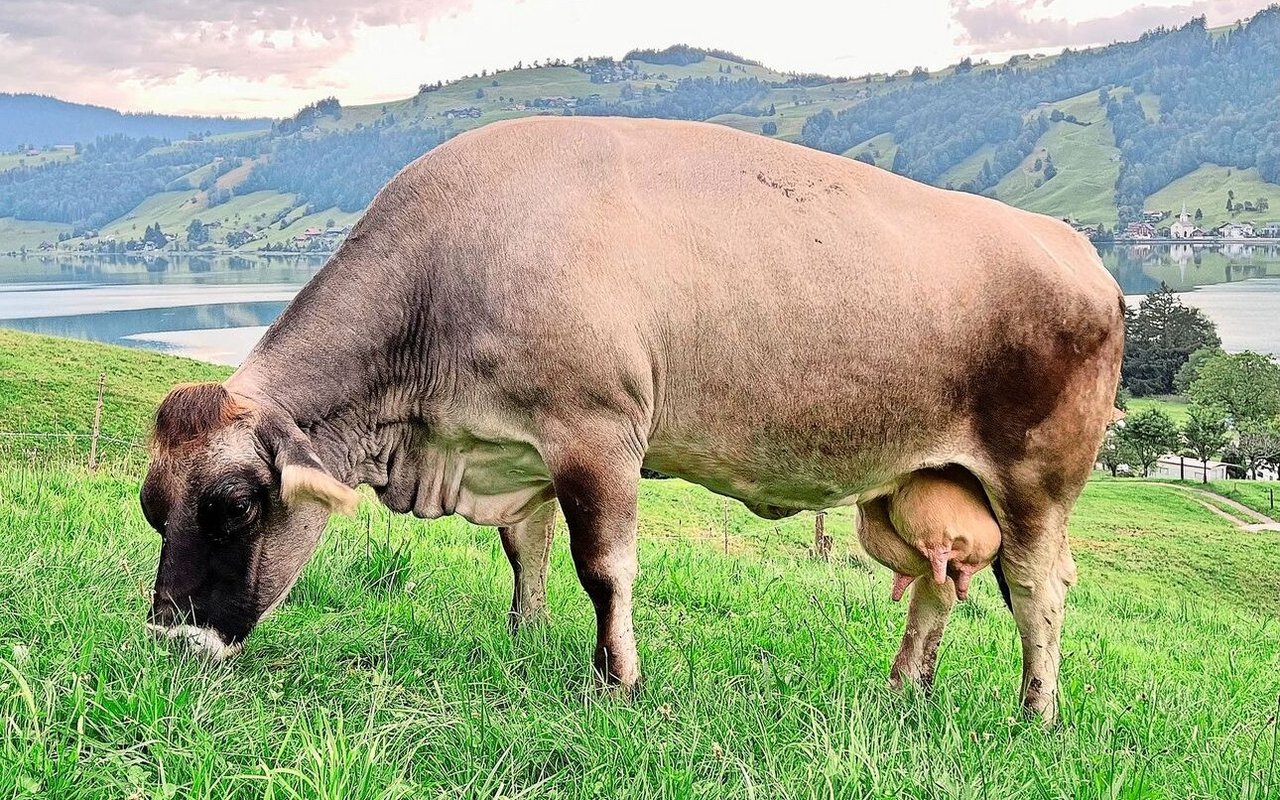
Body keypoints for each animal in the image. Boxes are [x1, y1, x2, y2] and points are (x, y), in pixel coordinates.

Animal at [140, 115, 1121, 721]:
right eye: (153, 507)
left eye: (232, 506)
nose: (170, 640)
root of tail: (1075, 248)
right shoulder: (520, 443)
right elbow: (527, 549)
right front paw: (526, 637)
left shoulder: (599, 432)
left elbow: (604, 567)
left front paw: (617, 681)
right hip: (916, 486)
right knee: (937, 585)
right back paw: (903, 690)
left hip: (1037, 481)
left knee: (1038, 590)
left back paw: (1036, 713)